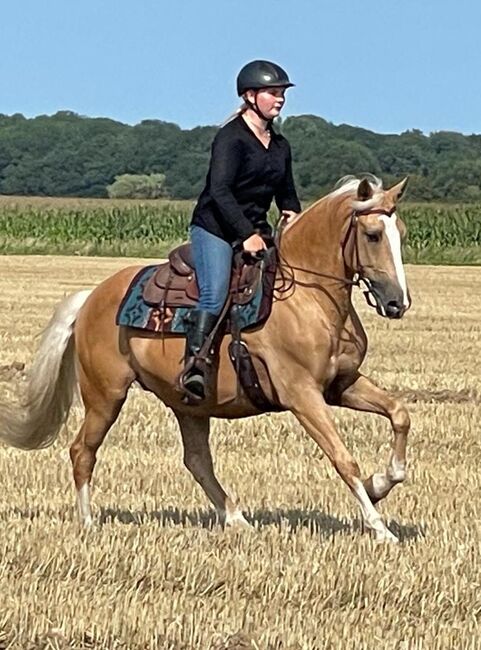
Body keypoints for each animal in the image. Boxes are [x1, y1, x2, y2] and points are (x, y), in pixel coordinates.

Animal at [0, 175, 412, 540]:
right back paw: (87, 522)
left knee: (197, 461)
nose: (398, 303)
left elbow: (399, 414)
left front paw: (380, 483)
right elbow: (343, 457)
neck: (307, 297)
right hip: (106, 396)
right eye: (373, 235)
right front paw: (380, 527)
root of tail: (92, 297)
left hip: (188, 403)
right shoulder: (301, 394)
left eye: (403, 233)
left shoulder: (340, 384)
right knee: (82, 451)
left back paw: (236, 519)